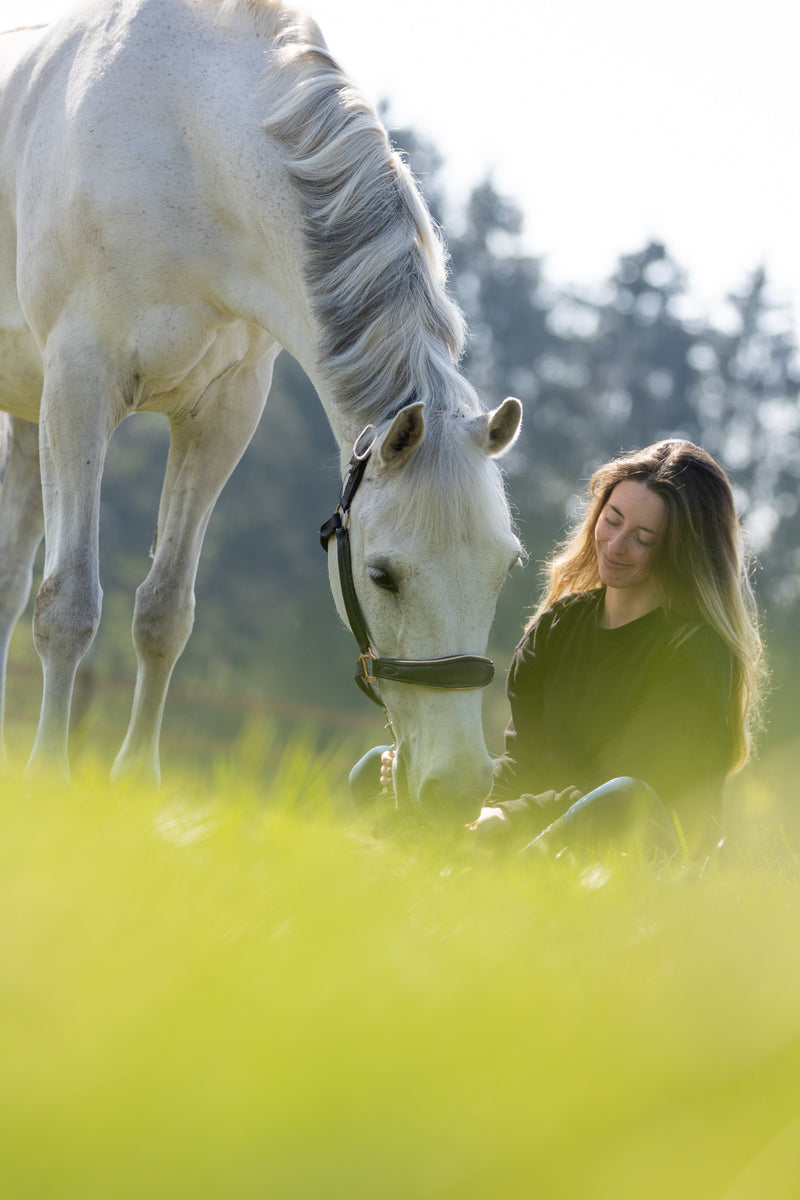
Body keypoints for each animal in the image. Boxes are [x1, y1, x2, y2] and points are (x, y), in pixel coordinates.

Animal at [0, 0, 522, 826]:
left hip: (27, 415)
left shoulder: (221, 414)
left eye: (505, 569)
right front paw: (49, 780)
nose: (458, 790)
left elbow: (165, 614)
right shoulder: (79, 387)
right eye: (382, 576)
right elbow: (68, 608)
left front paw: (137, 782)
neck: (185, 143)